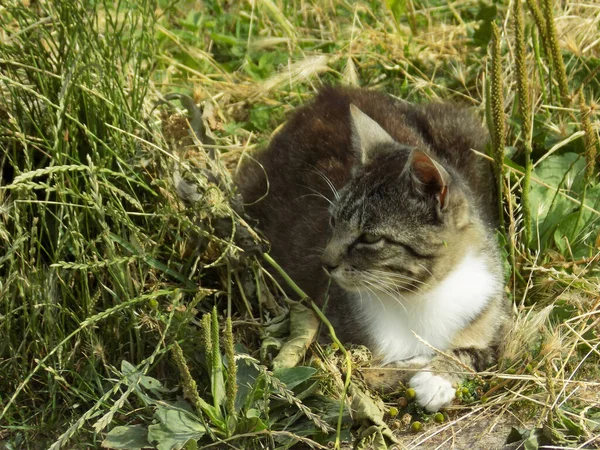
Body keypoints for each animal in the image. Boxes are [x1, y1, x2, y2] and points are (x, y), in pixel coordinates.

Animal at [237, 87, 508, 412]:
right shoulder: (334, 345)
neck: (419, 297)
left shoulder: (492, 316)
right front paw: (419, 366)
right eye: (333, 221)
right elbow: (370, 371)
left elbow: (473, 352)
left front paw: (437, 376)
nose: (326, 263)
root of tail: (332, 92)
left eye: (368, 238)